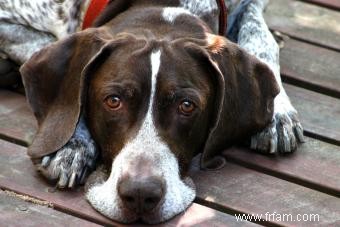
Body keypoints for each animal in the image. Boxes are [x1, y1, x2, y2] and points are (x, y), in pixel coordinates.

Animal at [0, 0, 304, 223]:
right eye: (113, 101)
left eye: (186, 106)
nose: (140, 194)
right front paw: (73, 143)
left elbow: (260, 35)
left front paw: (279, 112)